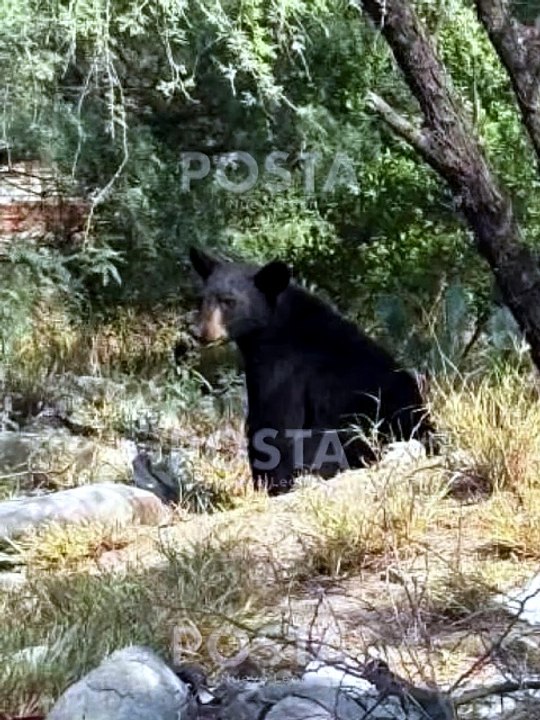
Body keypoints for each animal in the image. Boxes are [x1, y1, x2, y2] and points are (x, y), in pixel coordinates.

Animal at [189, 246, 434, 495]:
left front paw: (271, 486)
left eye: (228, 302)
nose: (199, 332)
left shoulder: (282, 369)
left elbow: (273, 426)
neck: (273, 325)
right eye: (202, 299)